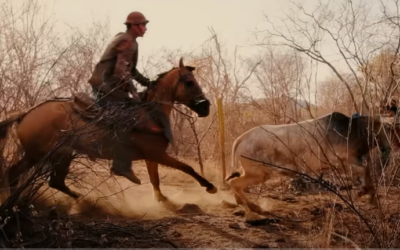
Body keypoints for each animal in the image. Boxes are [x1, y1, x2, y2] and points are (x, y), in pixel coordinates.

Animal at [0, 57, 217, 200]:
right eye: (189, 82)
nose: (205, 107)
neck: (150, 114)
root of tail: (25, 114)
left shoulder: (151, 158)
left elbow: (155, 180)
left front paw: (162, 200)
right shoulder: (156, 155)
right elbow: (187, 167)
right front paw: (209, 186)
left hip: (47, 155)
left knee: (36, 178)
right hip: (48, 154)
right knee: (38, 178)